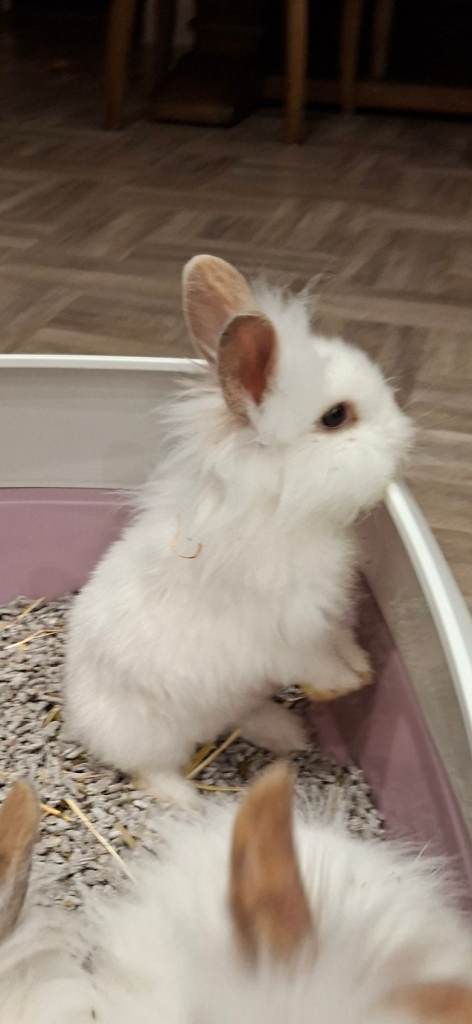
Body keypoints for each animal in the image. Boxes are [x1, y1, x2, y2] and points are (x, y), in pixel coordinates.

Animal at [64, 255, 414, 806]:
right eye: (335, 417)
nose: (406, 438)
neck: (281, 509)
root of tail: (76, 712)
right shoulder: (292, 632)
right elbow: (317, 661)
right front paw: (343, 684)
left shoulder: (328, 613)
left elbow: (340, 641)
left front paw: (360, 671)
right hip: (150, 734)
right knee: (151, 769)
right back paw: (189, 803)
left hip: (235, 700)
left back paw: (290, 734)